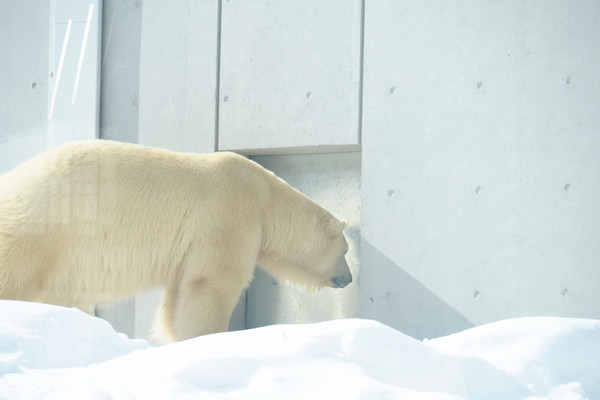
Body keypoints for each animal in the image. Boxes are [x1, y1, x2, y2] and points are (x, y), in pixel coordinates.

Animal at [1, 140, 352, 340]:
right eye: (346, 251)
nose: (348, 278)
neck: (265, 197)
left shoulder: (191, 244)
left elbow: (178, 291)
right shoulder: (229, 214)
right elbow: (213, 281)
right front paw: (206, 339)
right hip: (46, 225)